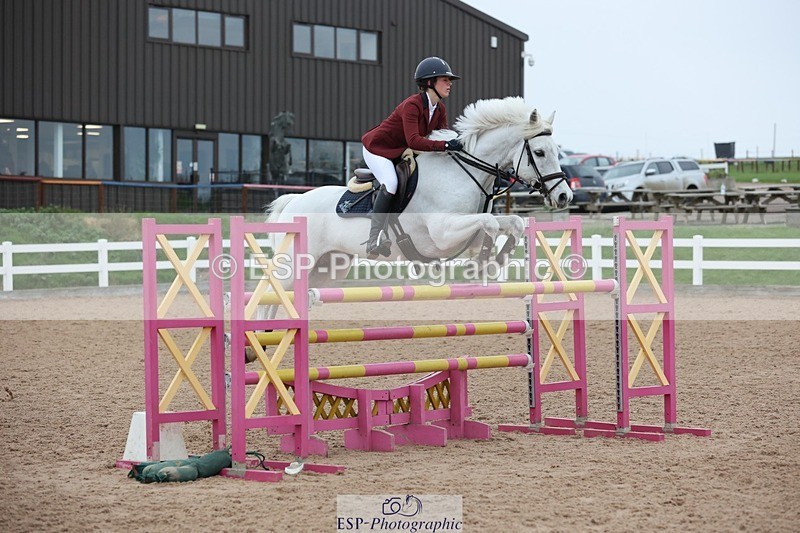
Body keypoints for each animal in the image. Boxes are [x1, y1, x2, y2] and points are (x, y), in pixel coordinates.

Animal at [264, 96, 571, 291]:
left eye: (557, 151)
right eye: (539, 152)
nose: (564, 197)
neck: (462, 173)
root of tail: (293, 202)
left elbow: (512, 223)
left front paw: (494, 260)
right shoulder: (442, 233)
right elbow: (490, 224)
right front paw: (483, 261)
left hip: (327, 269)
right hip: (295, 265)